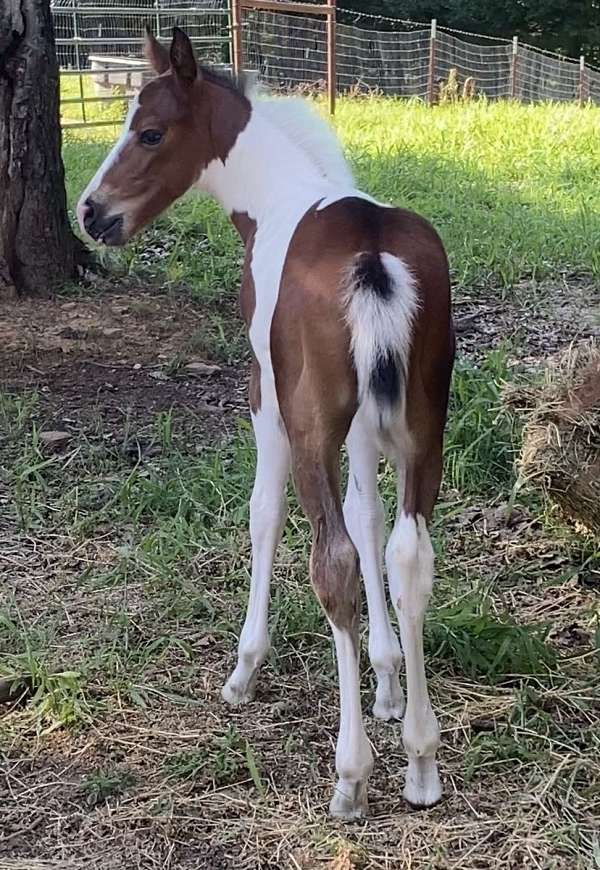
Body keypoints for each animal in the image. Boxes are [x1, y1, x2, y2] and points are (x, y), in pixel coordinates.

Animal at [77, 27, 455, 819]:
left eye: (150, 131)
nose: (92, 214)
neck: (279, 198)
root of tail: (373, 255)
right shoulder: (367, 424)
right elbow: (369, 520)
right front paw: (387, 685)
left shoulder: (269, 395)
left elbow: (264, 514)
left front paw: (244, 669)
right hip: (422, 422)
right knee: (411, 555)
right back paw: (421, 763)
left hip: (312, 420)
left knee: (330, 562)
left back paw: (351, 776)